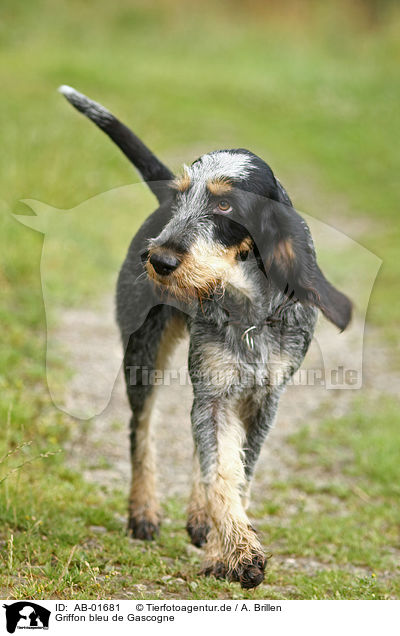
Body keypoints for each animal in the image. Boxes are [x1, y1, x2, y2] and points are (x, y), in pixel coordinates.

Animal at [60, 85, 354, 592]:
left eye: (223, 205)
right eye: (185, 197)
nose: (158, 260)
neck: (250, 309)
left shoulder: (263, 402)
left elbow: (236, 474)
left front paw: (221, 546)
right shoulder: (213, 391)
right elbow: (220, 474)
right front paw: (239, 553)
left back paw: (198, 518)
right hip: (144, 355)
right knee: (143, 429)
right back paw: (144, 511)